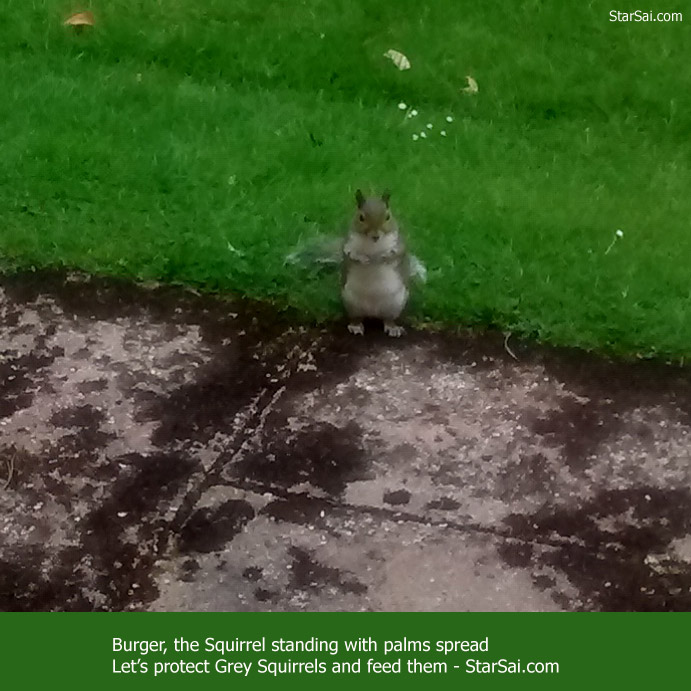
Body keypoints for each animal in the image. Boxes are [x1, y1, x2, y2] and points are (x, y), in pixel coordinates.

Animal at [341, 189, 417, 337]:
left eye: (388, 217)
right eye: (361, 217)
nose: (375, 236)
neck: (373, 246)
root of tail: (373, 312)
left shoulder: (399, 243)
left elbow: (396, 253)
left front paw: (383, 257)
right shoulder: (348, 244)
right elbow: (350, 255)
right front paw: (363, 259)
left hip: (395, 305)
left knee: (388, 319)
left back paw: (392, 328)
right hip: (351, 303)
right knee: (357, 317)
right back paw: (356, 326)